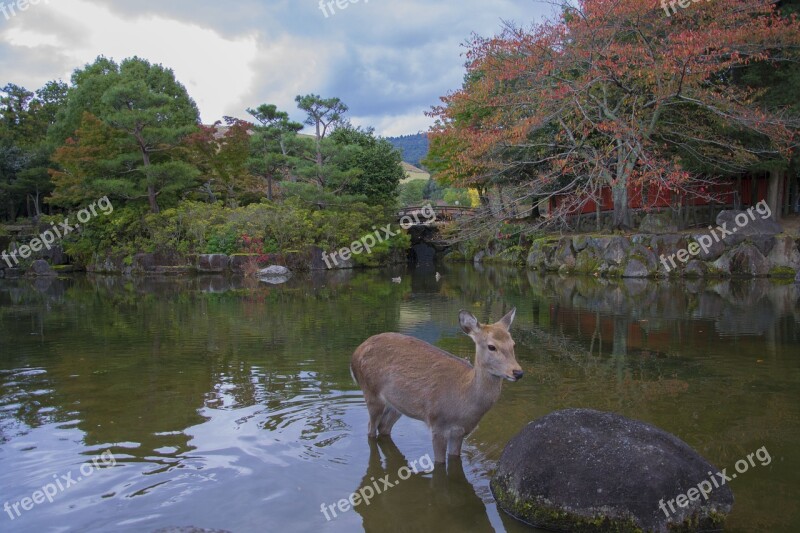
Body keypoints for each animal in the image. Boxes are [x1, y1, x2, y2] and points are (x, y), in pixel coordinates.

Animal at [352, 308, 524, 462]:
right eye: (491, 346)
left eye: (513, 344)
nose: (518, 372)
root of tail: (355, 354)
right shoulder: (438, 424)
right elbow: (439, 463)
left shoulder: (461, 432)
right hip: (371, 392)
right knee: (371, 429)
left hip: (398, 404)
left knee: (384, 427)